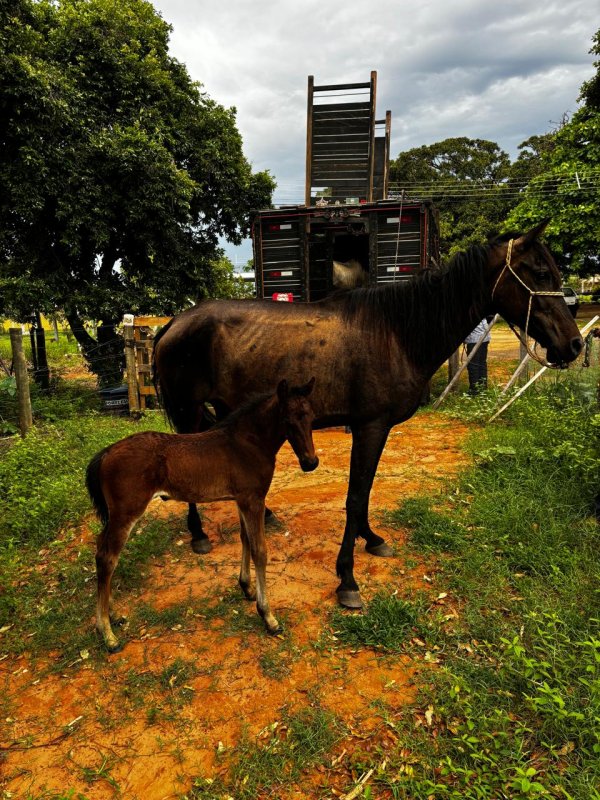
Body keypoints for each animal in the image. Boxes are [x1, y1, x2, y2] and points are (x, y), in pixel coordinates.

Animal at [86, 380, 318, 648]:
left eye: (311, 417)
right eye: (288, 420)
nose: (310, 462)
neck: (248, 442)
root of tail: (106, 452)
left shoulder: (242, 500)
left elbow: (245, 540)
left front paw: (247, 588)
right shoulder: (254, 500)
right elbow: (260, 551)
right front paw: (268, 616)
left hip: (115, 516)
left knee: (101, 550)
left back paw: (112, 614)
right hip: (126, 513)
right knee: (107, 558)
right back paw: (107, 632)